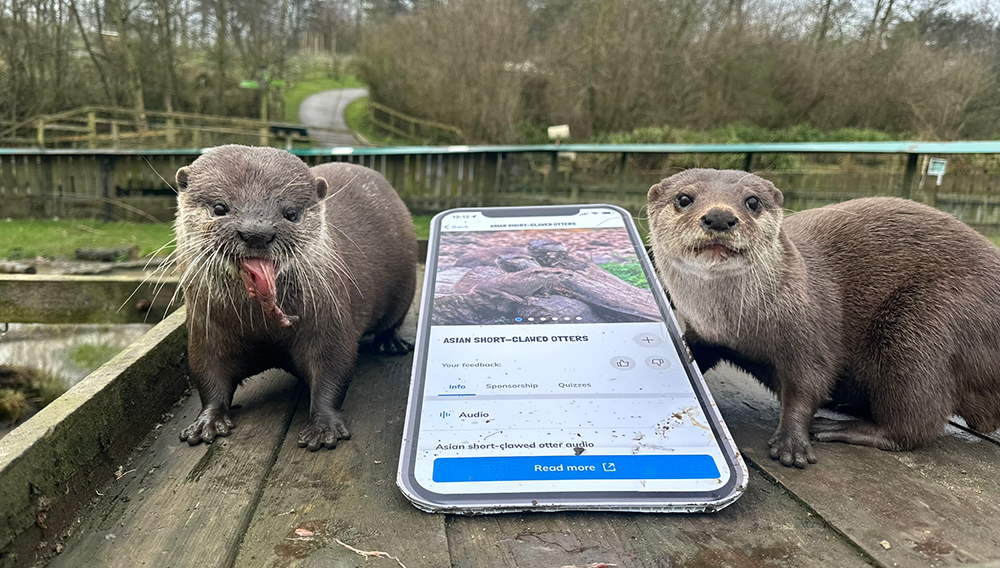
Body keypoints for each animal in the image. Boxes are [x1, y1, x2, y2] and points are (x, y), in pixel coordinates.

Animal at [173, 145, 416, 451]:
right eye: (219, 208)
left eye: (290, 213)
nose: (256, 233)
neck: (262, 328)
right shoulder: (206, 332)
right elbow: (208, 374)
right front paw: (207, 422)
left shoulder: (329, 321)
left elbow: (333, 369)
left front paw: (323, 428)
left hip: (406, 285)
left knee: (393, 320)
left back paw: (390, 344)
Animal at [647, 168, 1000, 468]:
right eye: (684, 198)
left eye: (752, 201)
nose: (720, 216)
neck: (734, 325)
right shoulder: (705, 333)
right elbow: (695, 351)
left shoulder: (810, 330)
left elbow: (809, 383)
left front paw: (792, 442)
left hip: (923, 324)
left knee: (916, 423)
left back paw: (838, 426)